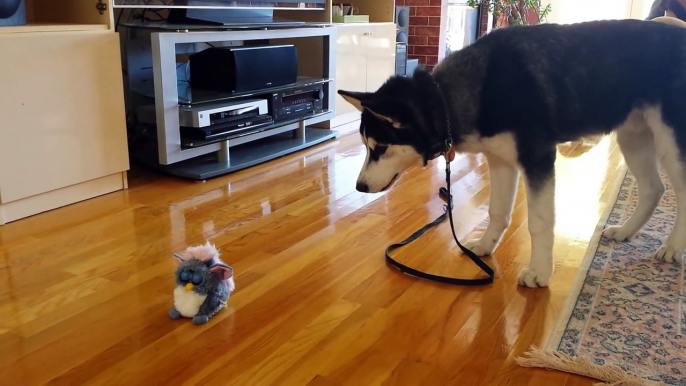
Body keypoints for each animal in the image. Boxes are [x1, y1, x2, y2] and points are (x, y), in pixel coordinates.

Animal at [342, 19, 686, 288]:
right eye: (365, 146)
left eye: (380, 147)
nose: (359, 186)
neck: (449, 100)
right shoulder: (501, 161)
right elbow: (497, 211)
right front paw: (485, 245)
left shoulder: (538, 158)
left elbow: (540, 221)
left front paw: (540, 272)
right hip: (634, 137)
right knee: (654, 189)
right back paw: (627, 230)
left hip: (671, 142)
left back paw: (672, 246)